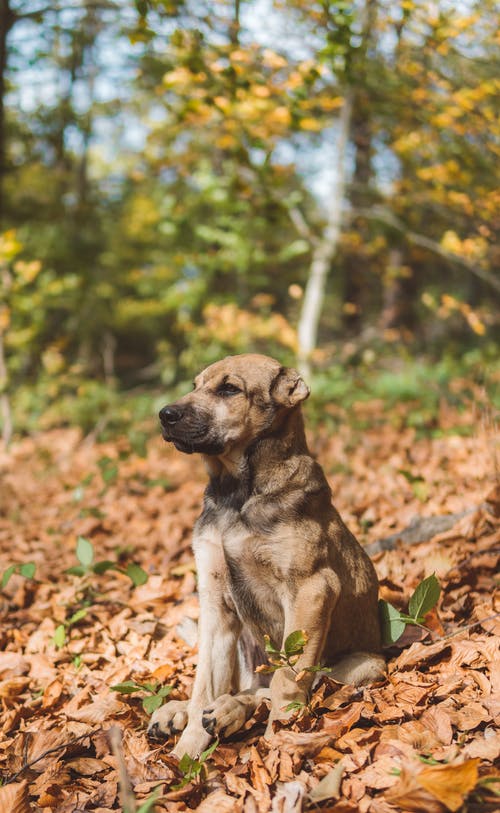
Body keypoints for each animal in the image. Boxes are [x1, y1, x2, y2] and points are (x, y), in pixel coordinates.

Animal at [148, 352, 382, 760]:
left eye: (229, 389)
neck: (237, 494)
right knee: (236, 687)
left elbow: (286, 683)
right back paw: (180, 711)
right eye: (195, 386)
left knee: (277, 688)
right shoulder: (215, 601)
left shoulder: (312, 589)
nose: (165, 414)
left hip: (366, 665)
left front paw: (280, 744)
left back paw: (230, 711)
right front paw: (183, 759)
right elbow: (202, 687)